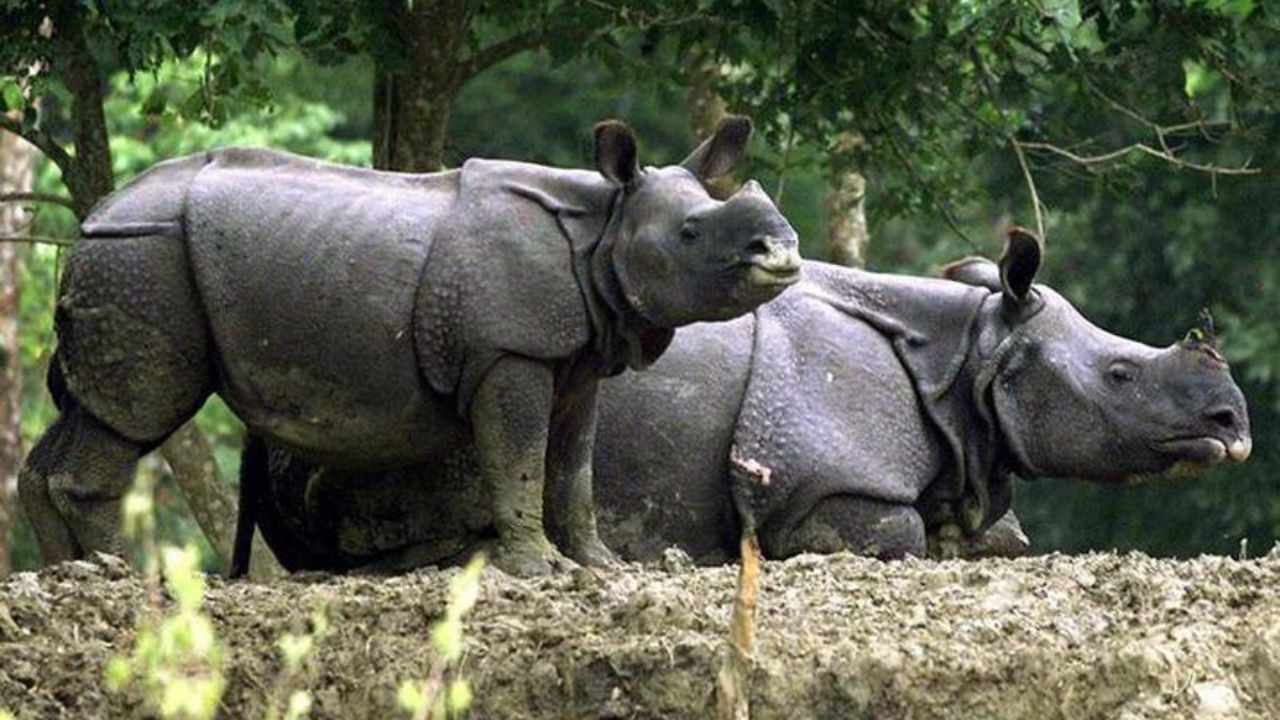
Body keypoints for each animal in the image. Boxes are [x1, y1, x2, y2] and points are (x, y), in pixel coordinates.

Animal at [18, 117, 803, 576]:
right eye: (690, 234)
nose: (783, 253)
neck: (604, 224)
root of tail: (92, 218)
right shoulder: (510, 351)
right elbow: (519, 459)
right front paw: (540, 571)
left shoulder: (578, 358)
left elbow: (573, 471)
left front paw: (603, 567)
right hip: (144, 258)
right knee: (134, 414)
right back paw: (122, 579)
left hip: (131, 258)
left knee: (87, 413)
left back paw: (66, 576)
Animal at [232, 229, 1253, 572]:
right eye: (1120, 375)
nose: (1231, 425)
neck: (967, 354)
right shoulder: (823, 480)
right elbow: (895, 536)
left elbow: (993, 536)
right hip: (380, 374)